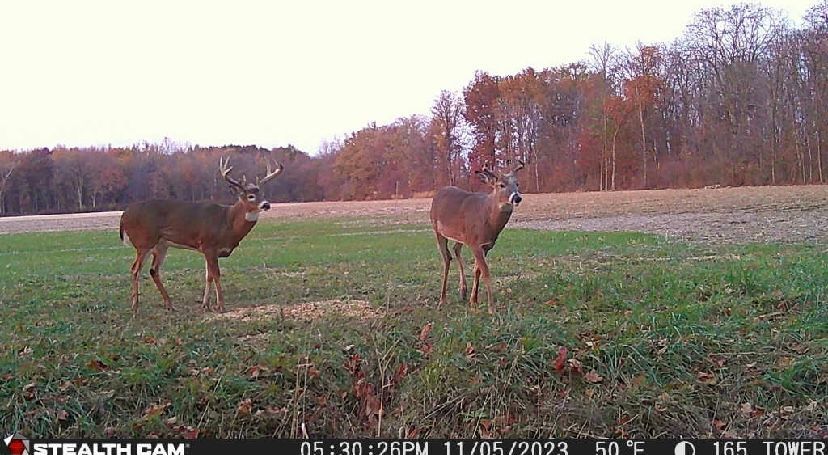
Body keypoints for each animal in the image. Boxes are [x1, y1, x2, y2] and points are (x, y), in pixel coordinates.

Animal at [119, 156, 283, 315]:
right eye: (250, 196)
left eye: (262, 193)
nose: (266, 204)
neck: (227, 222)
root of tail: (124, 215)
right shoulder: (209, 244)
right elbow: (216, 274)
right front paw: (221, 306)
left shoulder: (207, 249)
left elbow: (208, 276)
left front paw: (206, 305)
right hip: (144, 241)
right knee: (135, 269)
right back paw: (135, 307)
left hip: (161, 245)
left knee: (153, 270)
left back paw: (169, 305)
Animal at [430, 159, 525, 314]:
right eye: (501, 185)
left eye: (517, 183)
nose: (517, 197)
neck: (487, 217)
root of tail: (439, 192)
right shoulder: (475, 243)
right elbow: (485, 272)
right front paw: (491, 308)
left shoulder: (485, 245)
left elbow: (477, 270)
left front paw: (473, 300)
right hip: (437, 230)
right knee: (446, 259)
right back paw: (442, 300)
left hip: (462, 235)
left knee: (455, 249)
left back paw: (463, 290)